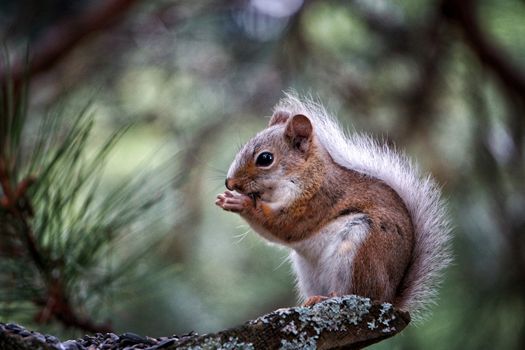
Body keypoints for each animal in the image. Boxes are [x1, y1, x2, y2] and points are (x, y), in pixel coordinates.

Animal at [215, 93, 452, 320]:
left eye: (265, 158)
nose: (229, 183)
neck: (306, 174)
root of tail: (388, 299)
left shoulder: (315, 201)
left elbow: (284, 226)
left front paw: (240, 202)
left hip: (360, 252)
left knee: (356, 293)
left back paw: (328, 298)